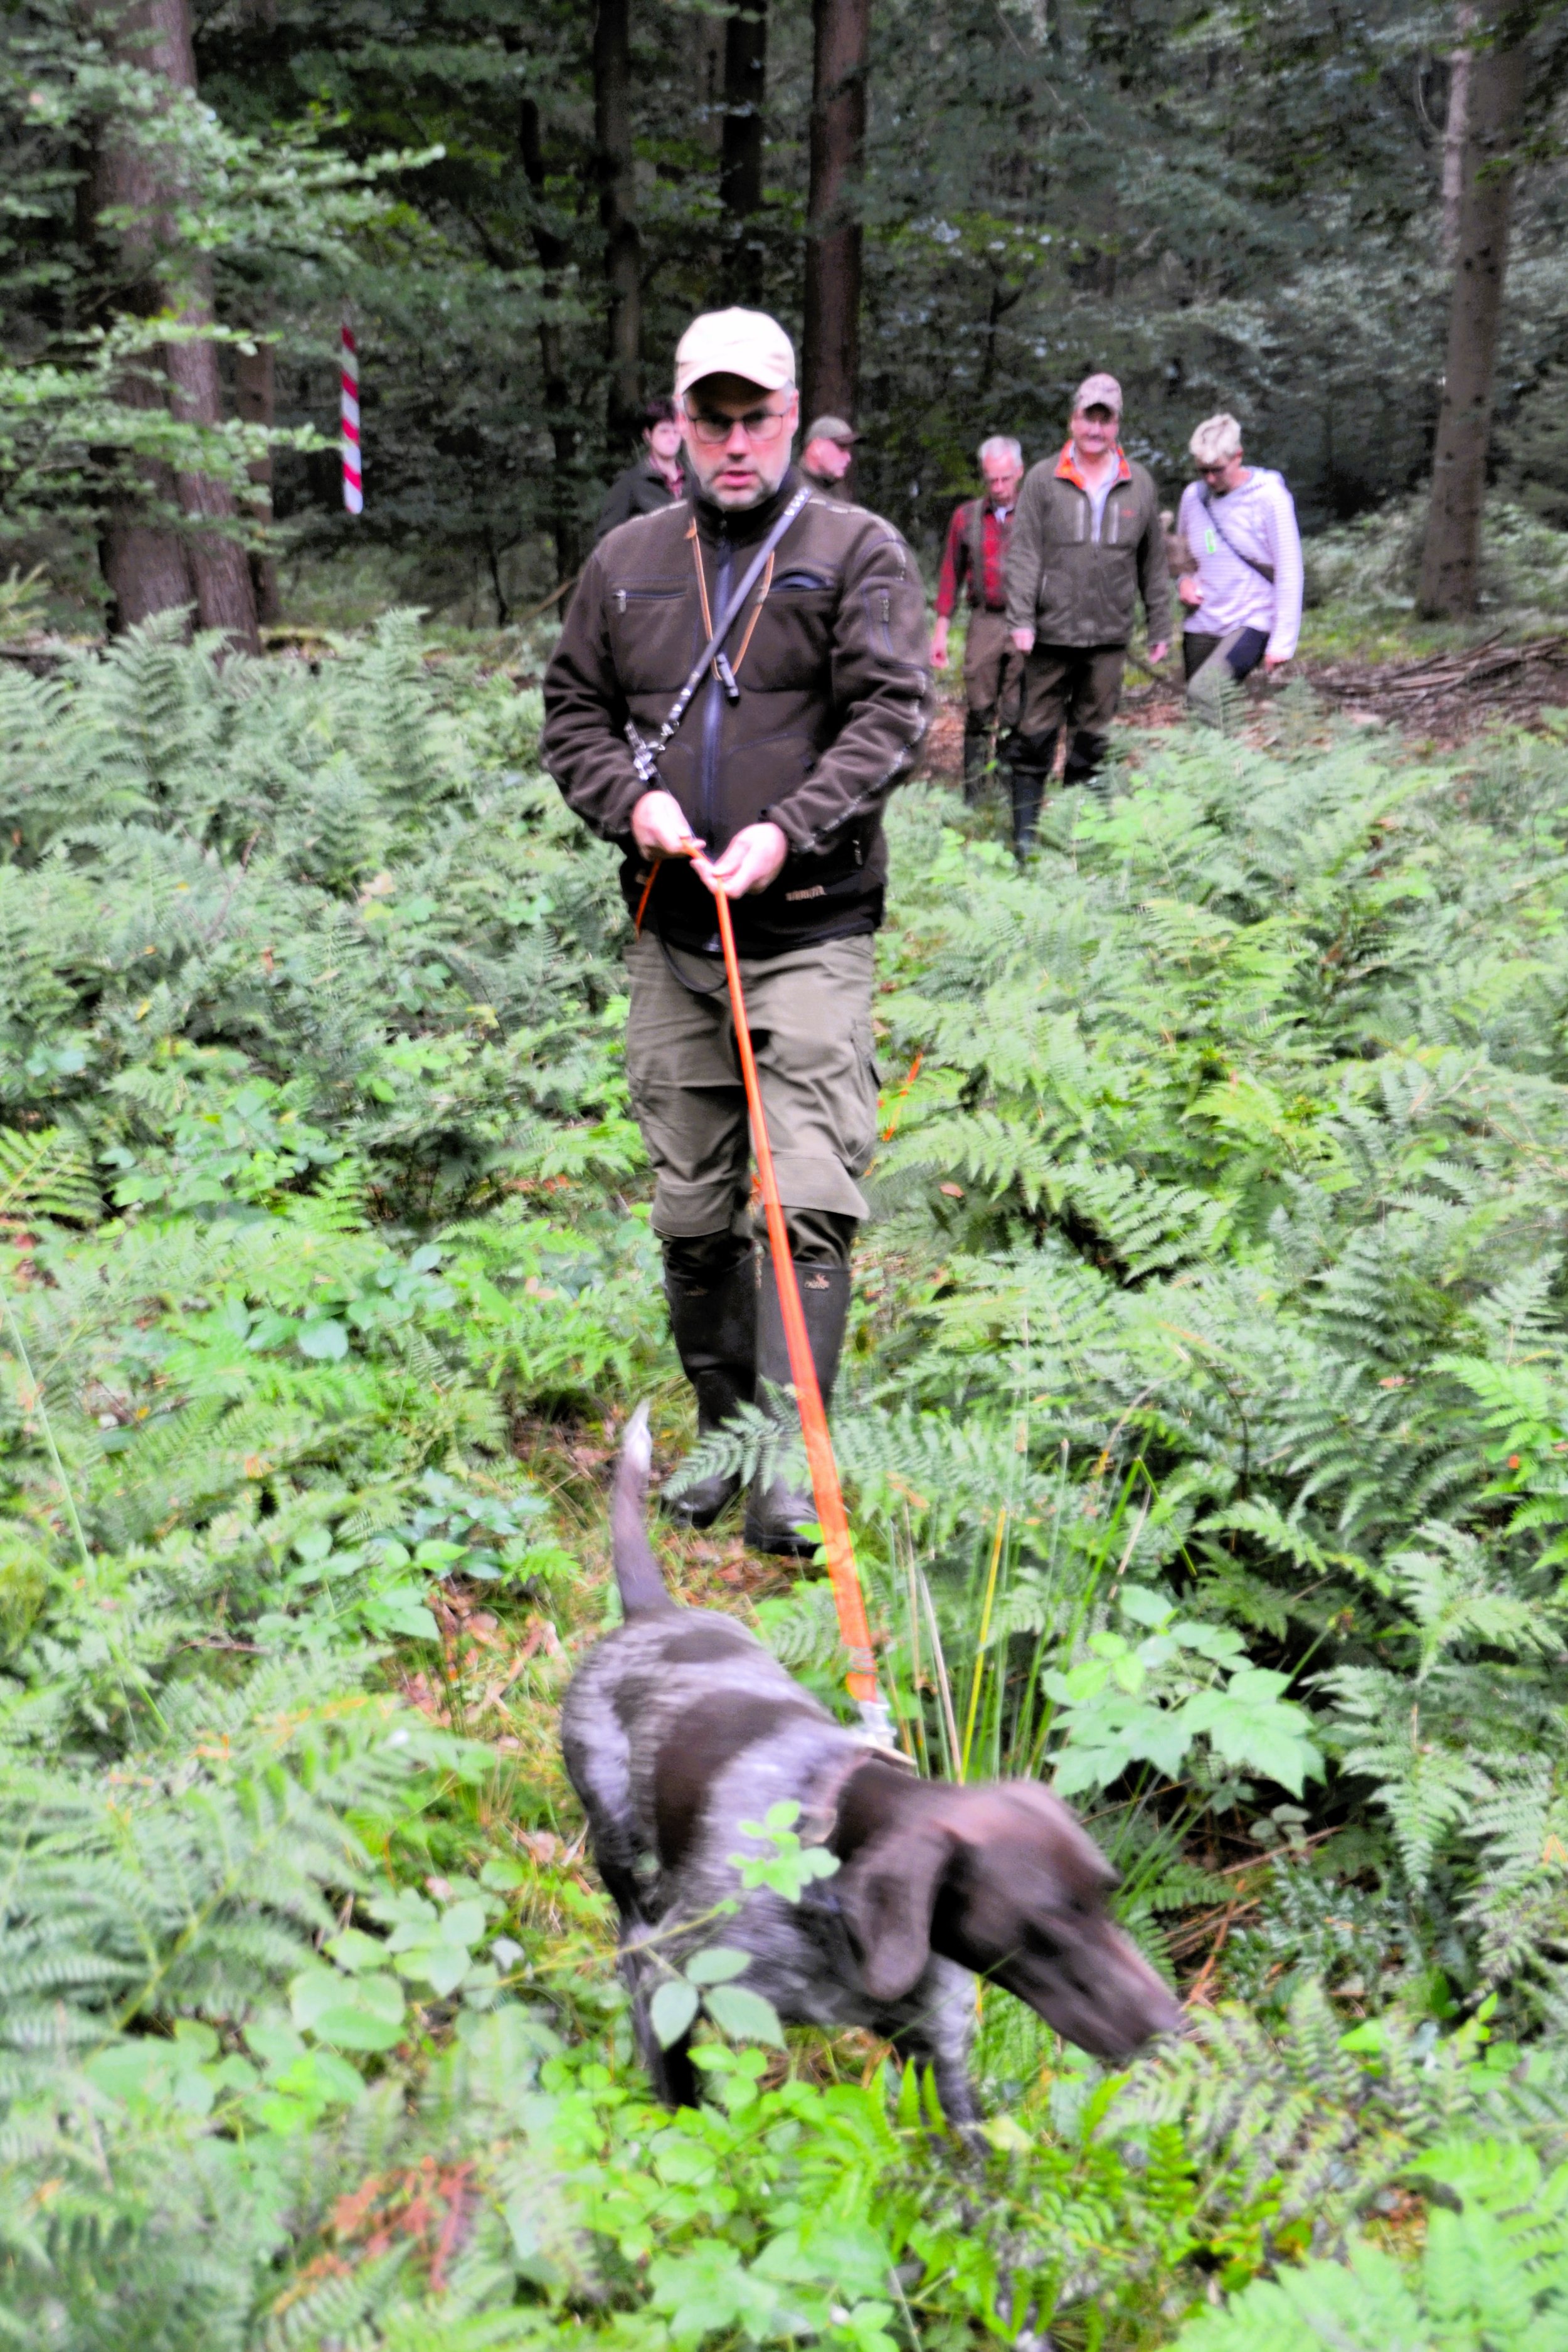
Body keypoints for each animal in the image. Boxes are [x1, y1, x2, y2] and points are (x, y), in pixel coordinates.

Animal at [560, 1406, 1183, 2124]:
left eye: (1109, 1899)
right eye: (1045, 1925)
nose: (1173, 2027)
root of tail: (653, 1612)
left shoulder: (937, 2061)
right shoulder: (670, 1980)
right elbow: (680, 2110)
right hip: (619, 1849)